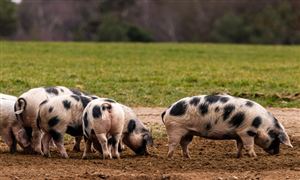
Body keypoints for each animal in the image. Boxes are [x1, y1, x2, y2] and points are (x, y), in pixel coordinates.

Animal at [162, 95, 292, 158]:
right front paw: (254, 157)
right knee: (173, 143)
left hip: (188, 132)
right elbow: (249, 145)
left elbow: (239, 145)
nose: (277, 153)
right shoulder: (247, 132)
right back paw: (170, 157)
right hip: (174, 128)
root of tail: (167, 110)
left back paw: (189, 157)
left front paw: (238, 156)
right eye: (276, 140)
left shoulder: (239, 133)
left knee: (184, 144)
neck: (261, 124)